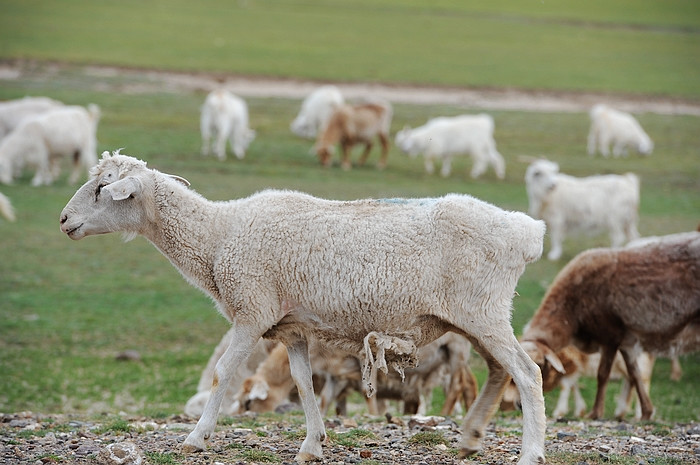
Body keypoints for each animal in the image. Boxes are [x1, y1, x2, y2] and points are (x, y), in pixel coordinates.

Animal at [60, 150, 548, 462]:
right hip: (474, 318)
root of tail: (526, 232)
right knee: (500, 371)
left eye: (103, 187)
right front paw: (313, 444)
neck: (218, 235)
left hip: (484, 312)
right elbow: (303, 381)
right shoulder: (289, 325)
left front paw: (196, 438)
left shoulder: (251, 311)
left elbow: (224, 372)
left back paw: (531, 452)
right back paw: (470, 437)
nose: (63, 220)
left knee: (527, 374)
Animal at [516, 230, 696, 418]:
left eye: (540, 365)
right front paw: (646, 412)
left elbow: (603, 375)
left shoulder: (610, 335)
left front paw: (595, 413)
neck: (570, 316)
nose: (519, 405)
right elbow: (635, 374)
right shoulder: (626, 341)